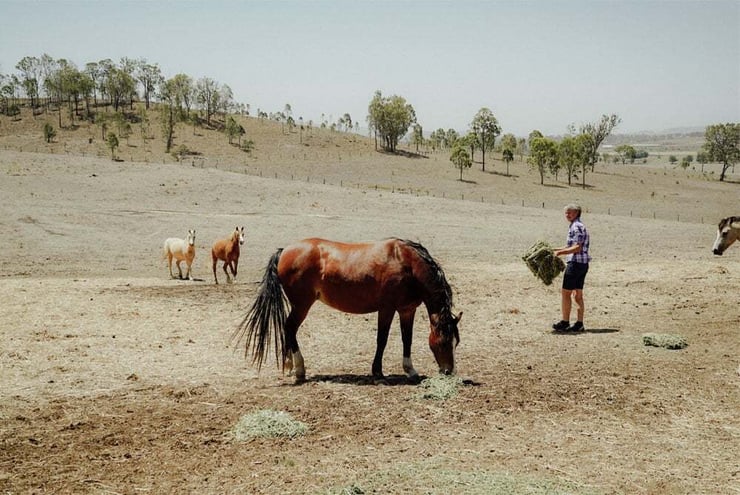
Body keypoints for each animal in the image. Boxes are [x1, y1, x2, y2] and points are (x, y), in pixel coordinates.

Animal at [232, 238, 462, 383]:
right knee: (289, 329)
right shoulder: (386, 309)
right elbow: (382, 339)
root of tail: (285, 251)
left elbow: (407, 339)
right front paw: (377, 372)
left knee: (288, 330)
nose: (448, 371)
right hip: (302, 305)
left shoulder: (407, 310)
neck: (406, 263)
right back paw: (299, 369)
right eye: (443, 341)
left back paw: (289, 366)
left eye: (455, 342)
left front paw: (410, 370)